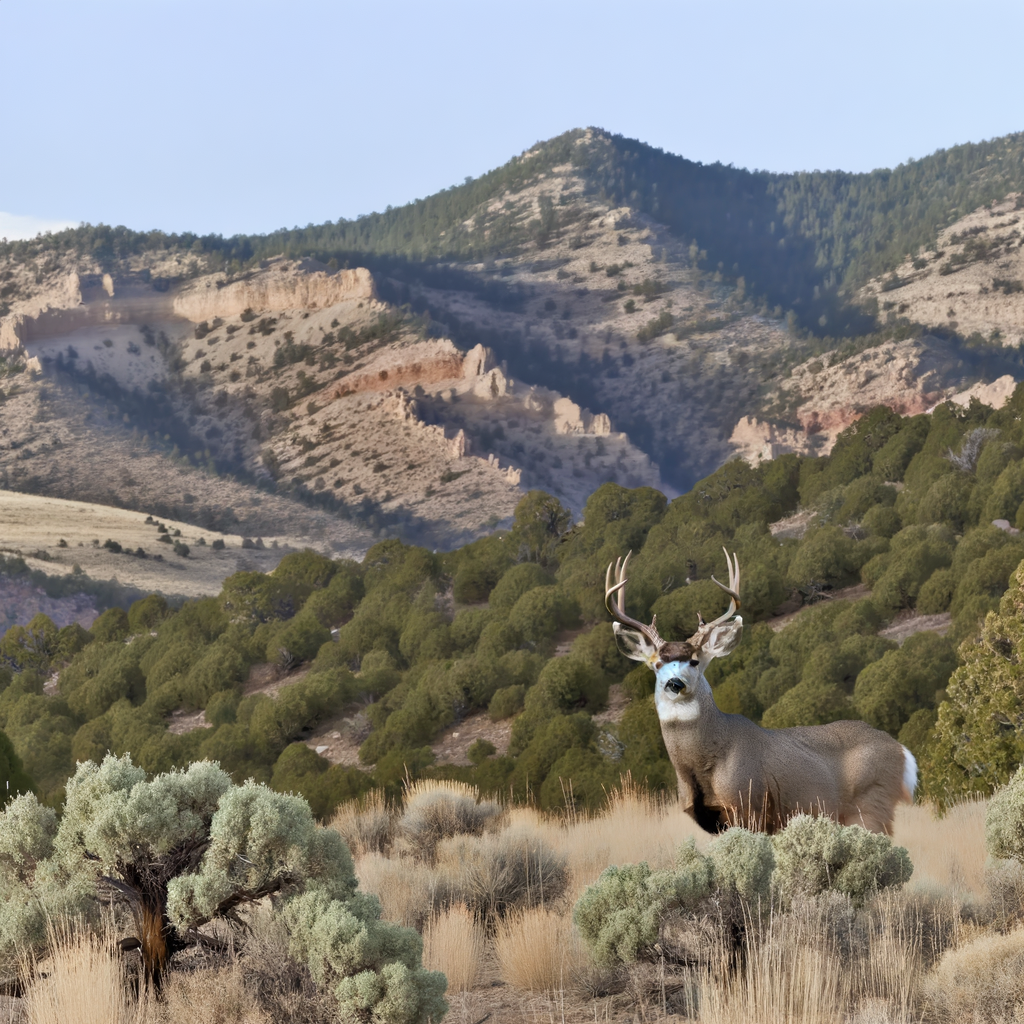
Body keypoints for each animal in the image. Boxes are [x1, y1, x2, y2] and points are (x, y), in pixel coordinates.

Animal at [605, 550, 916, 835]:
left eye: (694, 661)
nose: (675, 683)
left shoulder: (747, 806)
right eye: (656, 664)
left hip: (871, 805)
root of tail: (902, 752)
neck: (701, 769)